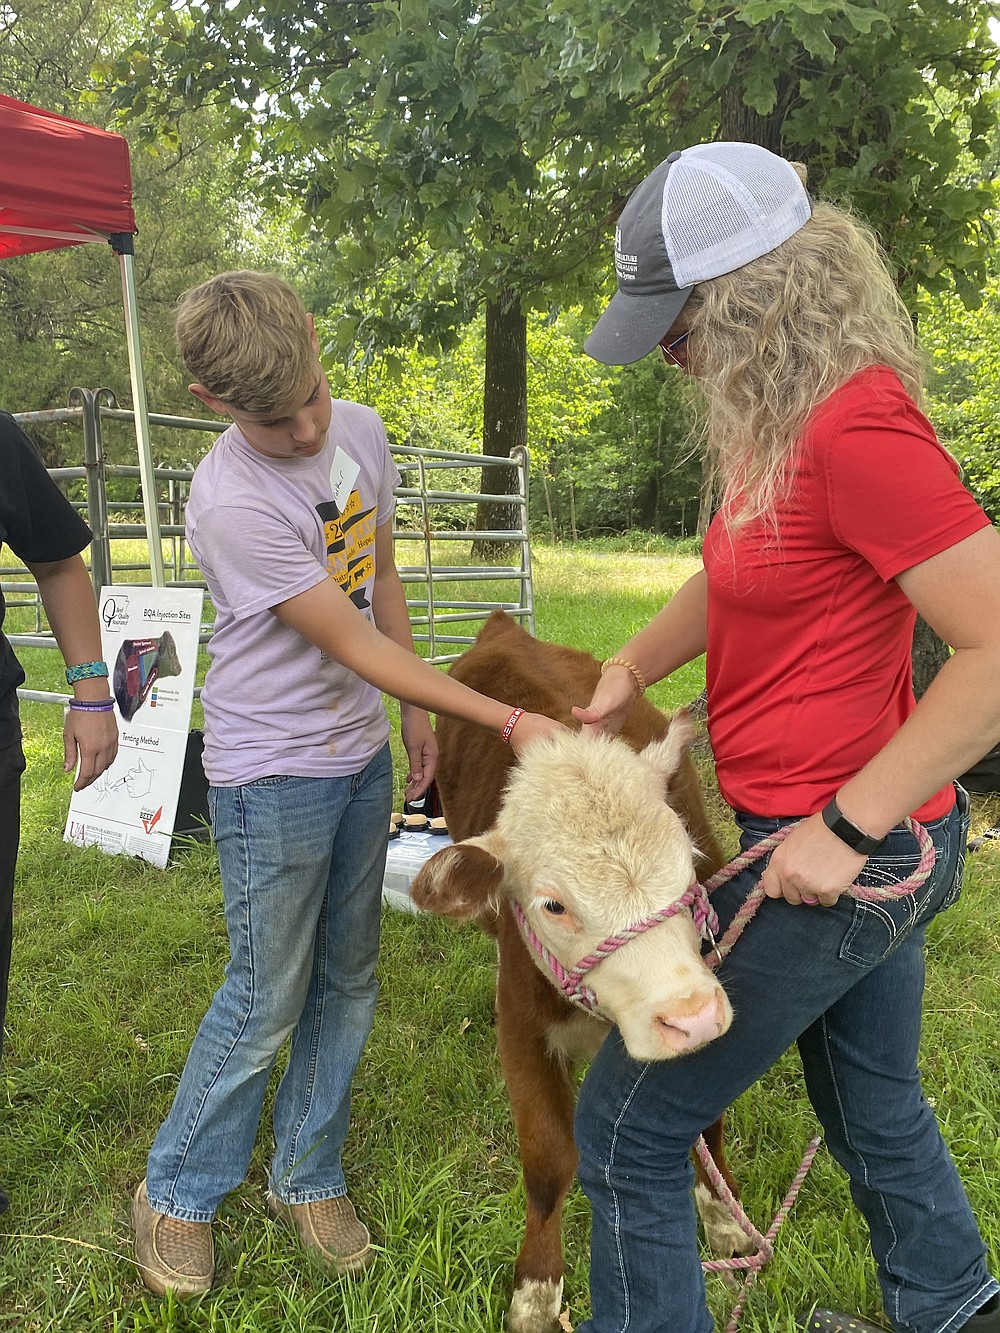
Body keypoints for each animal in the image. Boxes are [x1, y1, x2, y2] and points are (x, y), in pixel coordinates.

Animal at [410, 613, 746, 1333]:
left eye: (689, 859)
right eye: (553, 905)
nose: (693, 1016)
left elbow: (706, 1122)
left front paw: (725, 1218)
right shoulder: (522, 1028)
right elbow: (548, 1162)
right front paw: (537, 1290)